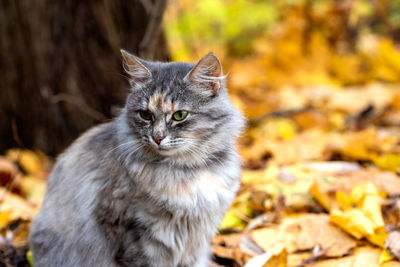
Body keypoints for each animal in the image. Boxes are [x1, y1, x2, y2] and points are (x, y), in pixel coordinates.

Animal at [28, 50, 244, 267]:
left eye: (180, 115)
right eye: (145, 115)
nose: (157, 138)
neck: (187, 170)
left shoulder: (196, 242)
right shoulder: (134, 234)